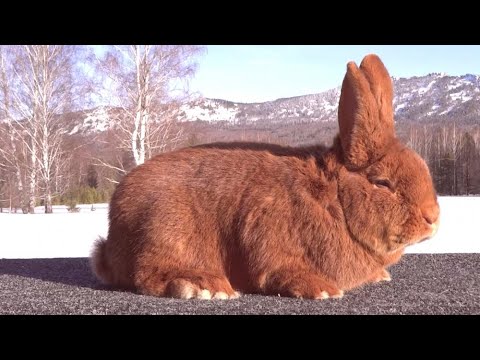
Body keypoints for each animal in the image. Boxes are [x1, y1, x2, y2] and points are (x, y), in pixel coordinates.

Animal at [90, 54, 438, 300]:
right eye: (382, 183)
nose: (433, 217)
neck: (333, 199)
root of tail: (113, 233)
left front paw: (379, 276)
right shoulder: (268, 236)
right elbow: (276, 270)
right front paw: (322, 289)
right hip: (165, 227)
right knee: (147, 273)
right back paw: (203, 286)